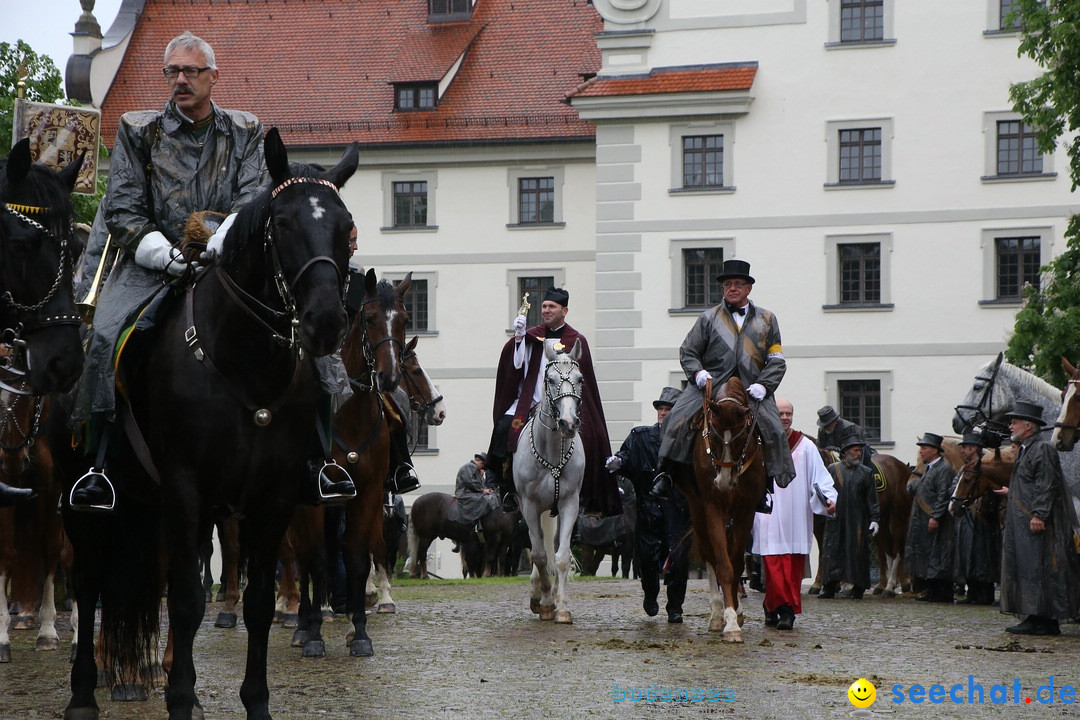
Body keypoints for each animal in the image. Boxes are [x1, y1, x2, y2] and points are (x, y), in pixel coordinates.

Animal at [61, 131, 360, 720]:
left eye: (347, 228)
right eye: (282, 222)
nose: (325, 322)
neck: (244, 367)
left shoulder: (273, 498)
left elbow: (259, 603)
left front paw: (254, 701)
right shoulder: (185, 490)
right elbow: (184, 600)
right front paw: (178, 699)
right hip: (87, 507)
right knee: (88, 585)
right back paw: (84, 693)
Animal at [511, 338, 587, 626]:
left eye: (580, 379)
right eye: (551, 379)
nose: (568, 423)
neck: (552, 452)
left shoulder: (569, 503)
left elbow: (561, 557)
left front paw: (561, 606)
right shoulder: (530, 505)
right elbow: (540, 555)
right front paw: (543, 602)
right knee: (537, 549)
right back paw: (539, 596)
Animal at [673, 377, 768, 643]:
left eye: (740, 437)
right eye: (713, 437)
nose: (724, 482)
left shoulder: (746, 511)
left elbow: (735, 564)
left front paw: (736, 612)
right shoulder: (712, 506)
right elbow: (723, 565)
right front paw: (730, 622)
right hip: (697, 510)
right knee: (710, 555)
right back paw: (717, 614)